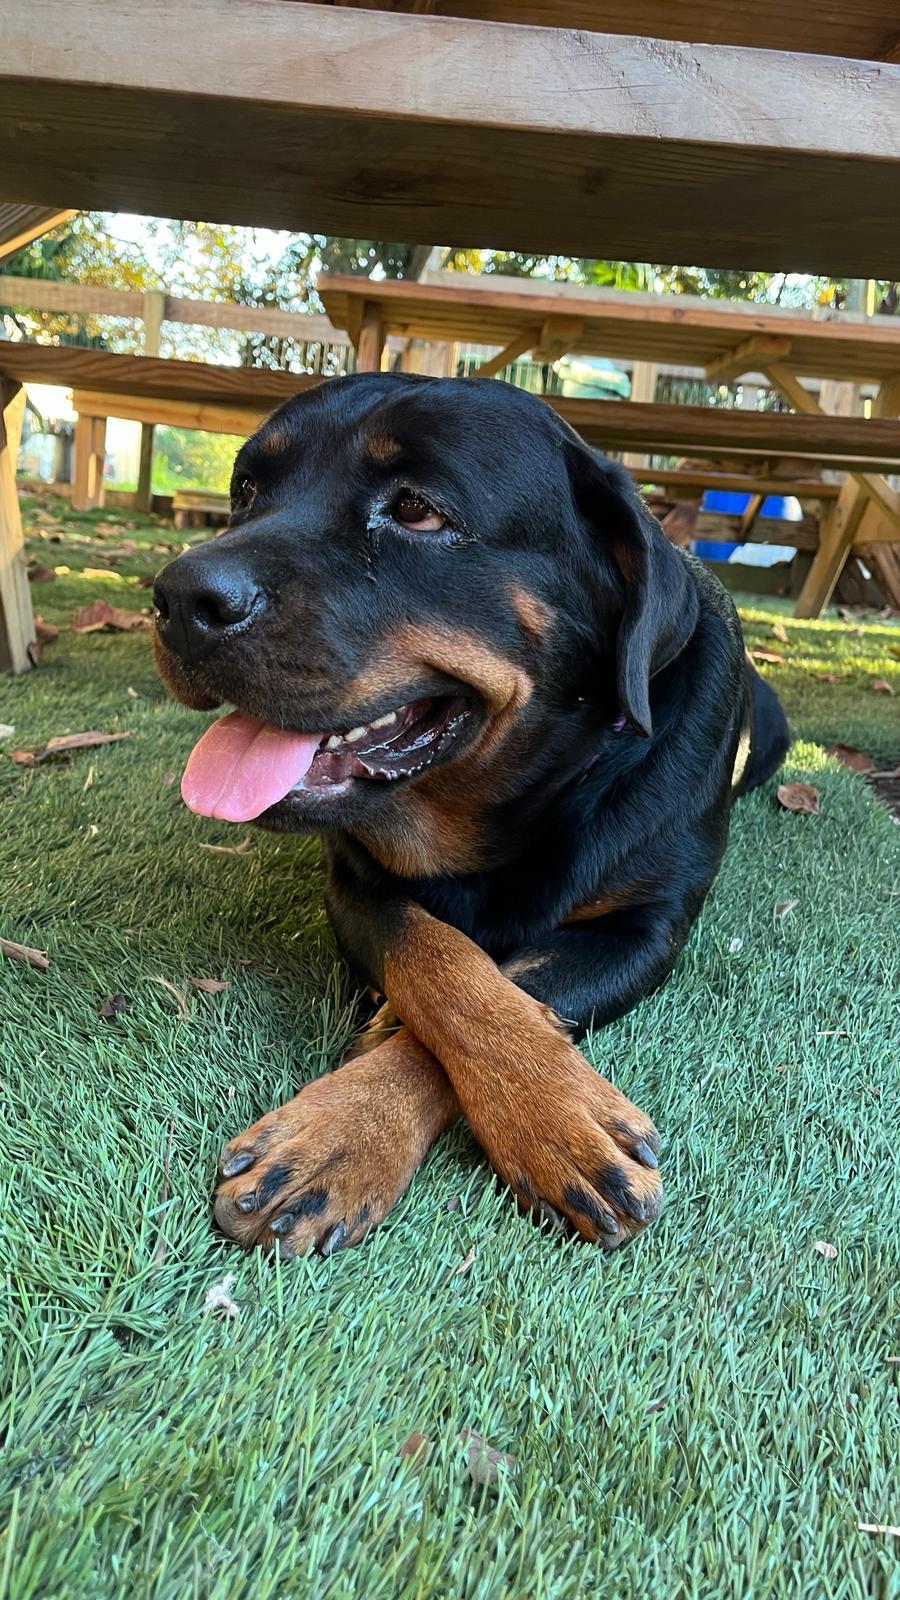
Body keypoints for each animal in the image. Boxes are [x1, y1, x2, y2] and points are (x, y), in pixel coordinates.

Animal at [153, 373, 789, 1259]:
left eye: (418, 510)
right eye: (247, 489)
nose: (178, 597)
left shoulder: (643, 928)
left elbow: (519, 984)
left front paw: (548, 1115)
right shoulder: (357, 883)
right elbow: (443, 960)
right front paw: (344, 1129)